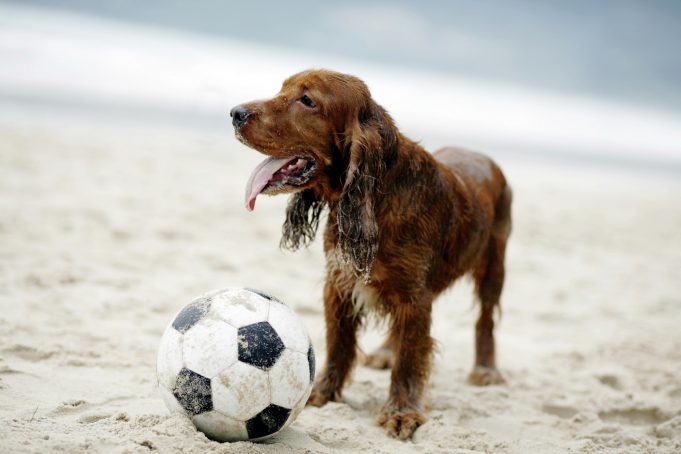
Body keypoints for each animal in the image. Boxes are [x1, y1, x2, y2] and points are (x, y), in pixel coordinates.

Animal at [230, 68, 510, 440]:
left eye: (307, 100)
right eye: (282, 89)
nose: (235, 113)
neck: (377, 197)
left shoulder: (414, 296)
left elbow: (409, 359)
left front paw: (401, 413)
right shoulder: (340, 283)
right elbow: (339, 345)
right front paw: (323, 392)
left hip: (494, 265)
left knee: (486, 318)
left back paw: (486, 369)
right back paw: (384, 353)